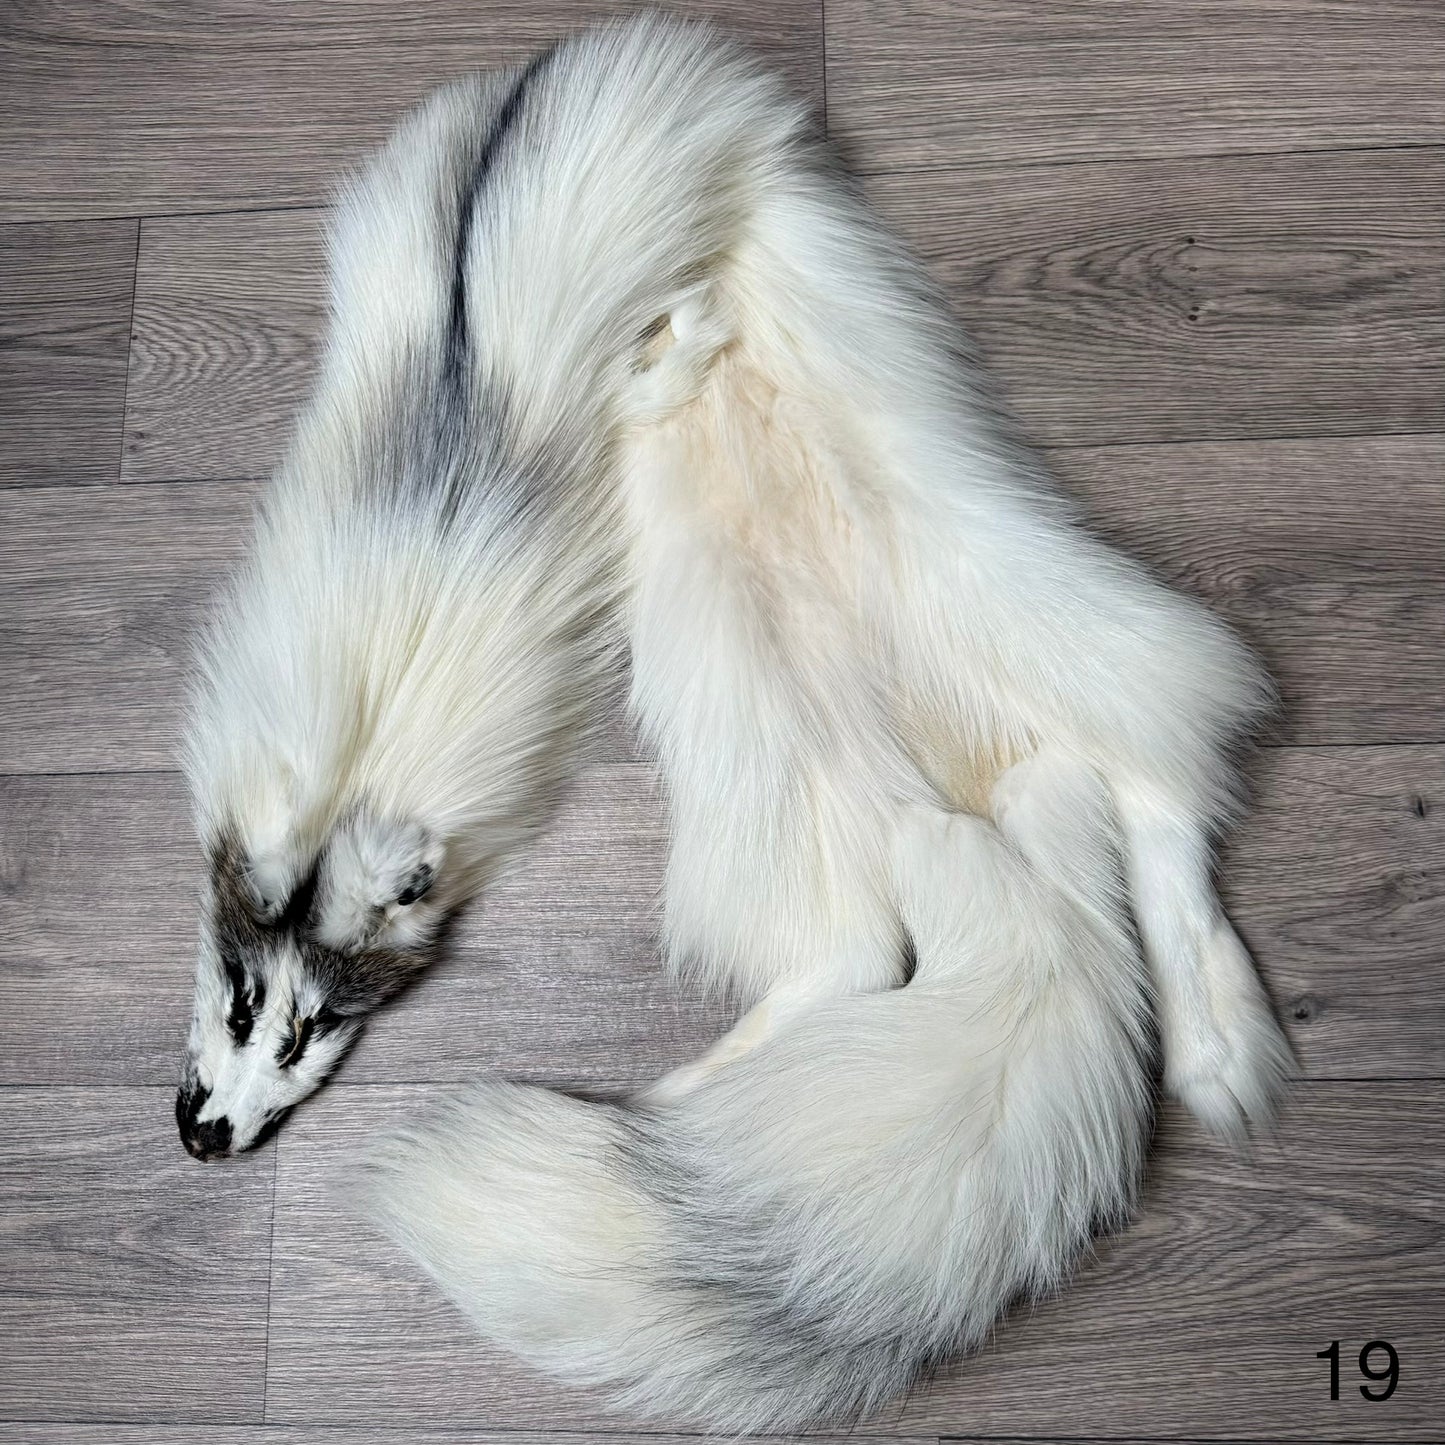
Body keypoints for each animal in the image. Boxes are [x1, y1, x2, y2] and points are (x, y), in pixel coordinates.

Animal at [175, 14, 1290, 1429]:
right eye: (240, 1001)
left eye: (306, 1028)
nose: (203, 1138)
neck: (370, 749)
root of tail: (957, 771)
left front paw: (674, 341)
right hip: (785, 710)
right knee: (918, 911)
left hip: (942, 581)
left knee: (1130, 781)